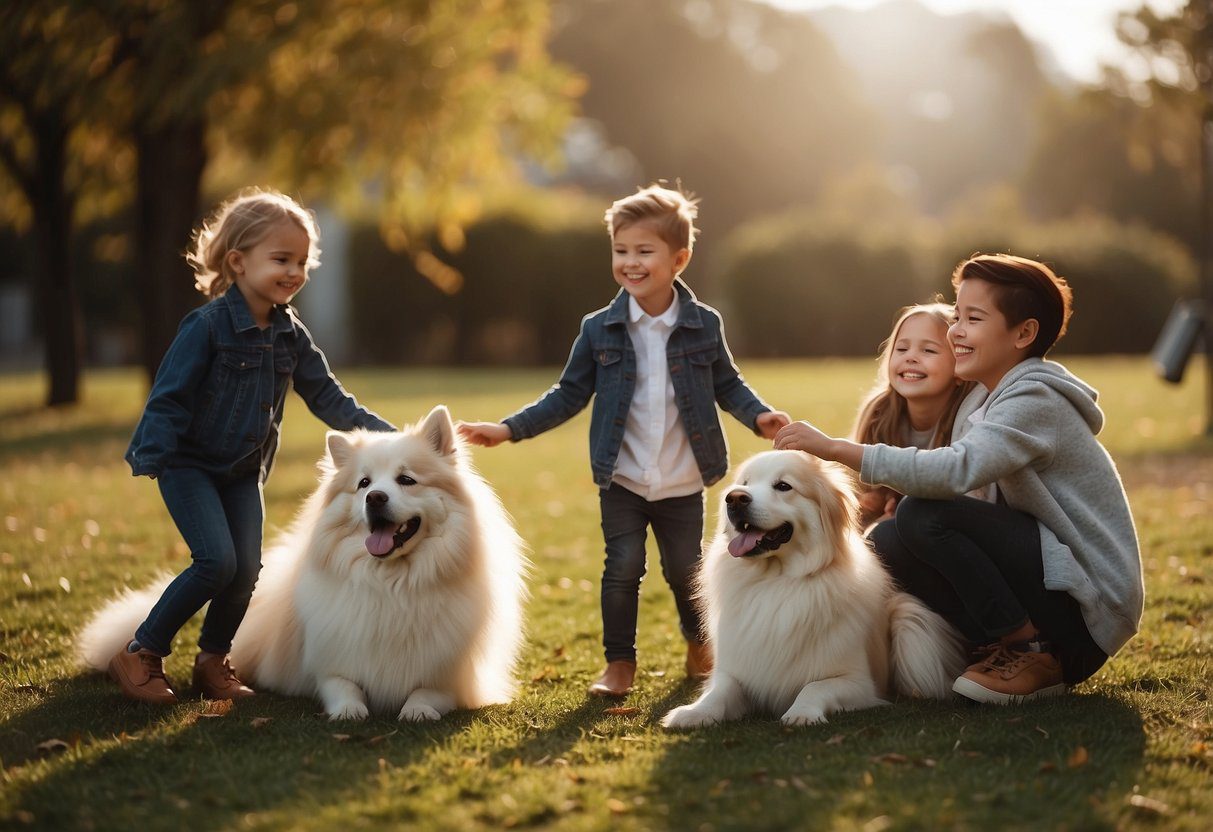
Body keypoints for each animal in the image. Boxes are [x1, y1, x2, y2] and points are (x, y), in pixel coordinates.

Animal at [79, 407, 526, 717]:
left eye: (406, 480)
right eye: (364, 483)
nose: (375, 498)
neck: (391, 584)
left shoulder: (455, 676)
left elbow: (427, 692)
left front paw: (417, 710)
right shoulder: (328, 665)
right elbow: (343, 687)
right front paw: (350, 710)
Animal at [659, 448, 960, 727]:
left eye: (783, 486)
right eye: (744, 483)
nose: (734, 498)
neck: (776, 581)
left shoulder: (858, 682)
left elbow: (815, 687)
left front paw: (802, 712)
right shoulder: (735, 670)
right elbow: (719, 691)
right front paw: (693, 713)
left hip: (910, 621)